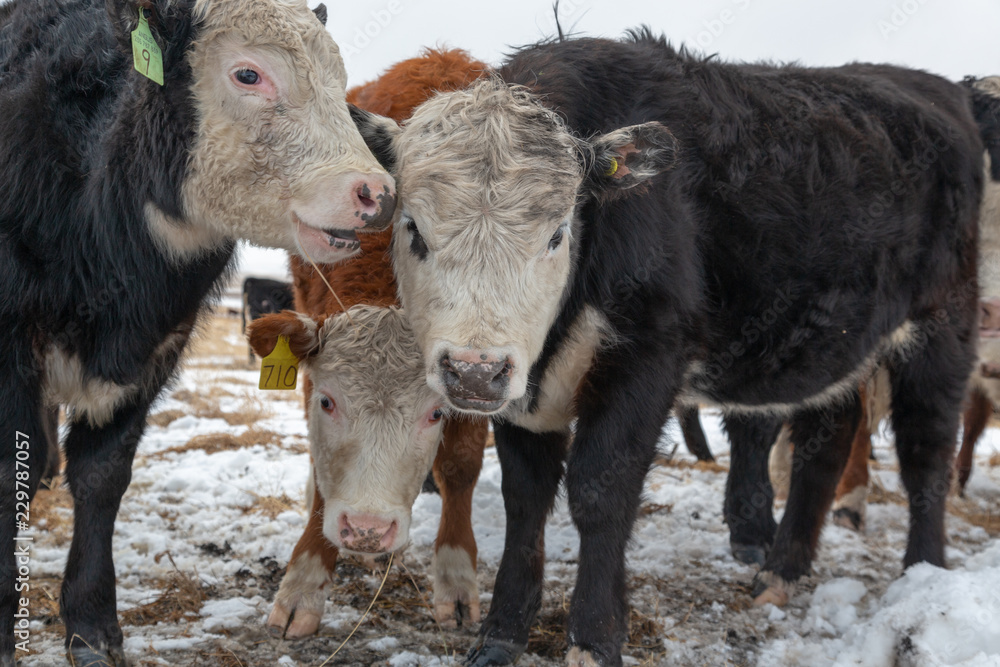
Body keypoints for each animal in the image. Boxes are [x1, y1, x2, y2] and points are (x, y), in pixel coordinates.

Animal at [0, 0, 396, 662]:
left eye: (339, 80)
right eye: (248, 74)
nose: (378, 193)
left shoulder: (157, 349)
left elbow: (102, 476)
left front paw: (92, 624)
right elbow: (12, 468)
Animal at [261, 48, 489, 638]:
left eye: (435, 415)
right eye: (327, 402)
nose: (366, 528)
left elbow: (461, 465)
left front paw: (456, 578)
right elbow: (322, 470)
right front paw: (305, 580)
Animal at [350, 31, 985, 666]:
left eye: (557, 233)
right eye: (412, 227)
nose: (474, 372)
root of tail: (934, 87)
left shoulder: (648, 359)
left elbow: (599, 490)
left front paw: (595, 637)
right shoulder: (525, 387)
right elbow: (525, 499)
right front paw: (502, 632)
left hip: (942, 325)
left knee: (926, 450)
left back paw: (922, 574)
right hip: (835, 346)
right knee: (824, 445)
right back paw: (782, 570)